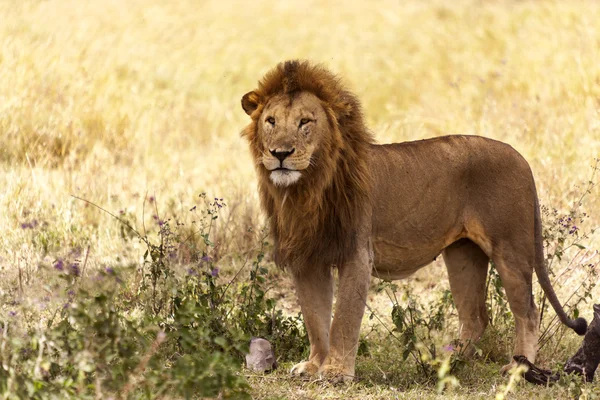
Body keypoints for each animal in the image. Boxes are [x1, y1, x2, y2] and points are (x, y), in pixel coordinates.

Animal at [239, 60, 584, 382]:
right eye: (271, 121)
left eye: (305, 122)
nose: (280, 153)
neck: (307, 189)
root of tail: (520, 157)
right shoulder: (307, 258)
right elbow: (315, 317)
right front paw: (313, 366)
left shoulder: (357, 254)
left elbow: (343, 319)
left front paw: (337, 372)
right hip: (463, 255)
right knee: (476, 316)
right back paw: (448, 364)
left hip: (510, 247)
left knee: (528, 311)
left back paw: (517, 368)